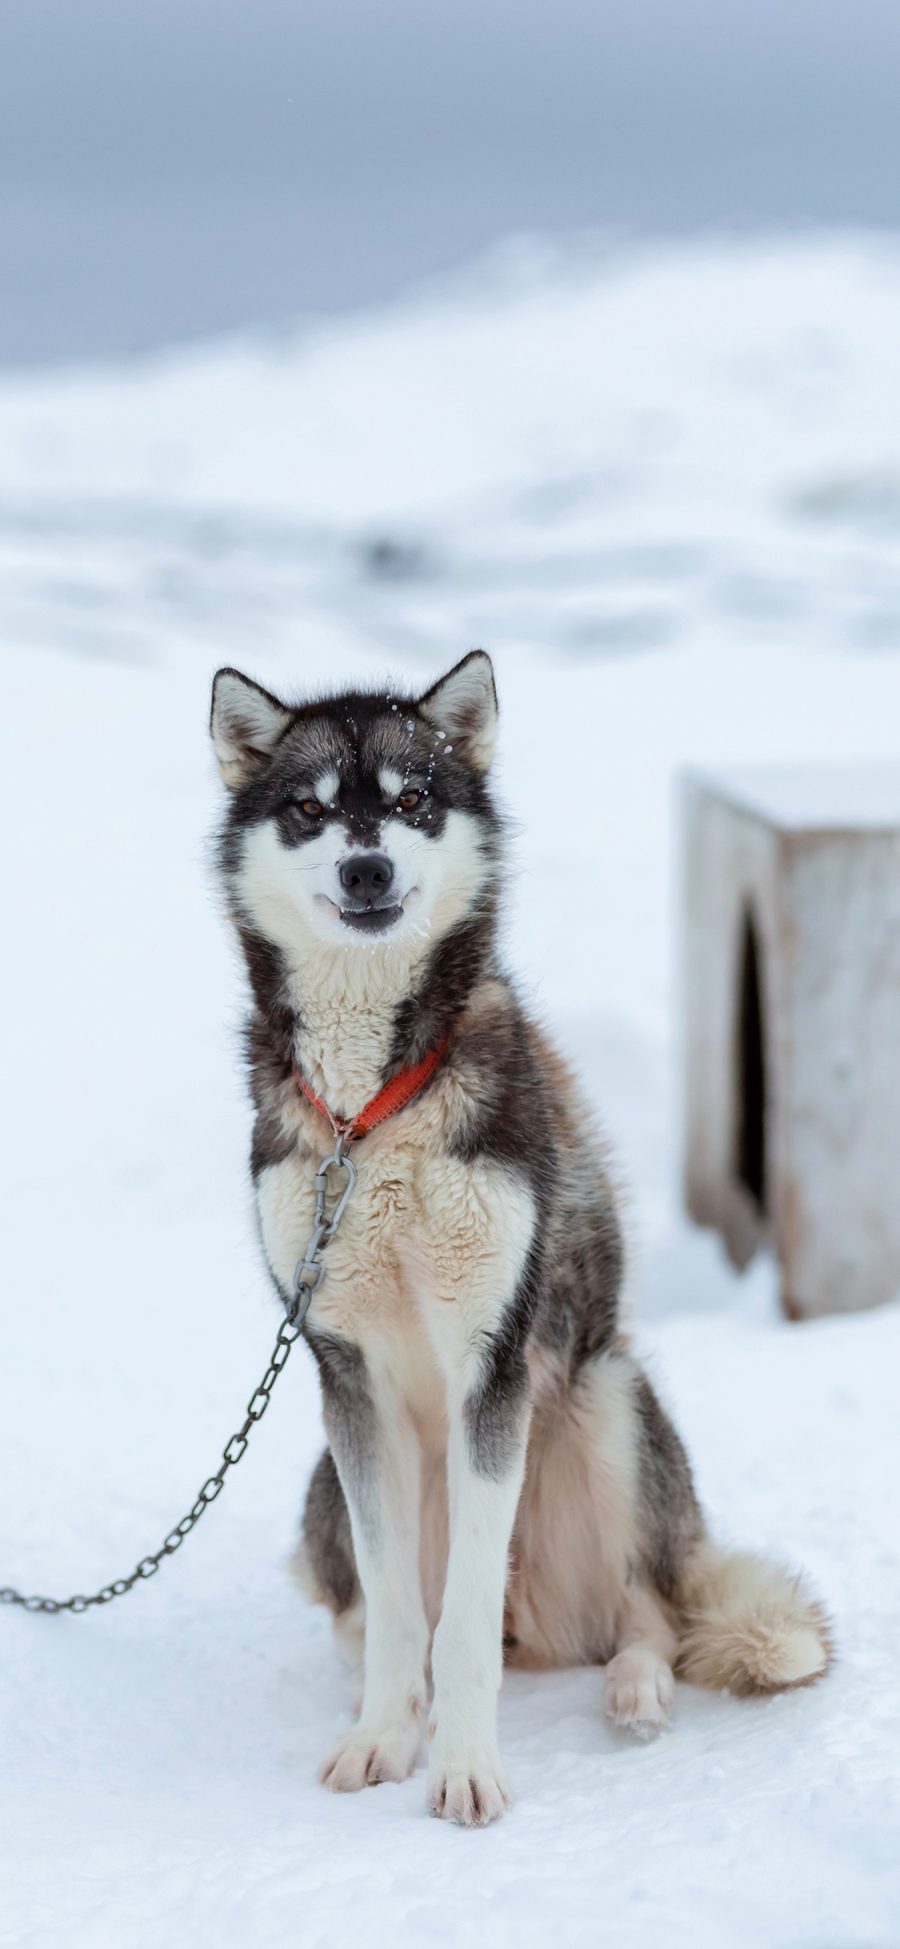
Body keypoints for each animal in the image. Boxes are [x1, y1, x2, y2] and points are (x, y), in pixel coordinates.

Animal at [209, 654, 829, 1824]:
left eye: (413, 800)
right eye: (310, 811)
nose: (365, 867)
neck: (370, 1114)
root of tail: (538, 1627)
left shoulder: (492, 1362)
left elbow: (456, 1629)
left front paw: (464, 1768)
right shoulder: (345, 1375)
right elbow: (403, 1612)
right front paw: (382, 1739)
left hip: (606, 1395)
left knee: (646, 1612)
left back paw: (634, 1690)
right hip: (323, 1483)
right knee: (371, 1613)